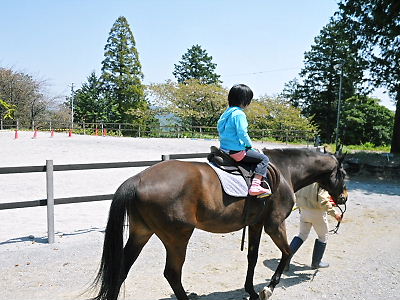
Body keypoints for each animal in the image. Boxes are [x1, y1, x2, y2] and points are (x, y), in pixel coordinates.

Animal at [90, 148, 346, 300]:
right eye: (343, 173)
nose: (343, 198)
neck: (284, 170)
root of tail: (138, 178)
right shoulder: (274, 225)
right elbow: (287, 253)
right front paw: (268, 288)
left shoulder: (255, 225)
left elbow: (252, 257)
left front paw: (251, 290)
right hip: (178, 238)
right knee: (172, 273)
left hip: (141, 233)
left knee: (122, 268)